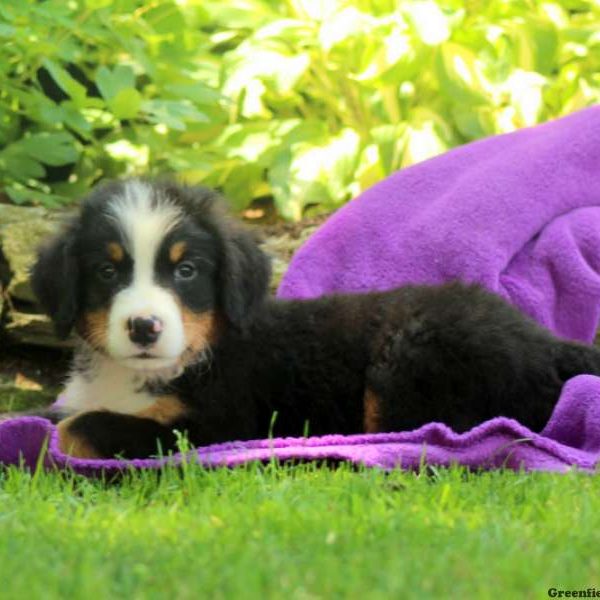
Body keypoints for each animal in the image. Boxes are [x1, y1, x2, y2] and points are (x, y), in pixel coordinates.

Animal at [27, 178, 600, 460]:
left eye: (185, 270)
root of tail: (545, 340)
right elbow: (55, 416)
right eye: (107, 271)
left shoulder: (218, 423)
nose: (144, 327)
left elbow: (80, 427)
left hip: (409, 356)